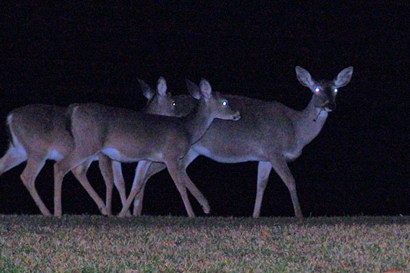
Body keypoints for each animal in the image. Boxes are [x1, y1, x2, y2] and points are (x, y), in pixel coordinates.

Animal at [0, 77, 181, 216]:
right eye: (173, 103)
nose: (179, 117)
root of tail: (10, 117)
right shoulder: (104, 155)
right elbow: (110, 181)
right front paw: (113, 211)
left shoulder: (115, 159)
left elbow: (120, 182)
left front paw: (125, 213)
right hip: (38, 150)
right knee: (29, 176)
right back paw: (50, 212)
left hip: (19, 151)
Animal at [54, 77, 240, 216]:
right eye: (225, 102)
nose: (237, 114)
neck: (187, 129)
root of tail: (74, 108)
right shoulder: (170, 156)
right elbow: (180, 186)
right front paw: (193, 214)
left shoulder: (147, 158)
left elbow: (136, 185)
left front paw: (123, 214)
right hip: (89, 144)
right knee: (60, 166)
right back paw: (58, 212)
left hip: (87, 146)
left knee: (75, 170)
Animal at [121, 65, 352, 217]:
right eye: (316, 89)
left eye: (336, 89)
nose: (330, 105)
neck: (295, 129)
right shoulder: (274, 150)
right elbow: (290, 181)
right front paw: (299, 214)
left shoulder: (264, 156)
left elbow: (261, 185)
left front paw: (255, 216)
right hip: (181, 148)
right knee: (157, 170)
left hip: (189, 150)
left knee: (154, 169)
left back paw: (137, 210)